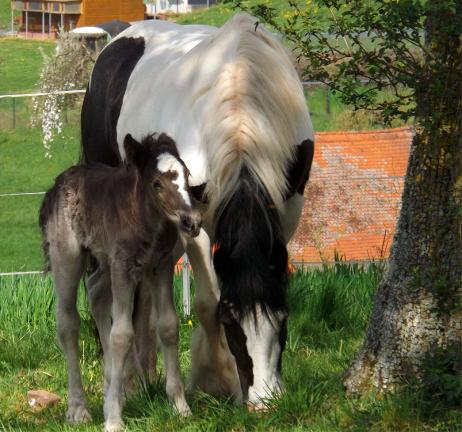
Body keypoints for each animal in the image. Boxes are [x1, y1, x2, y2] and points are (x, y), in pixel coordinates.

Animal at [81, 13, 316, 410]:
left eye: (282, 317)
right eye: (231, 321)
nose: (264, 401)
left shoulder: (284, 213)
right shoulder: (196, 225)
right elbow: (207, 302)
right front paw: (217, 379)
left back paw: (146, 375)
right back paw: (128, 382)